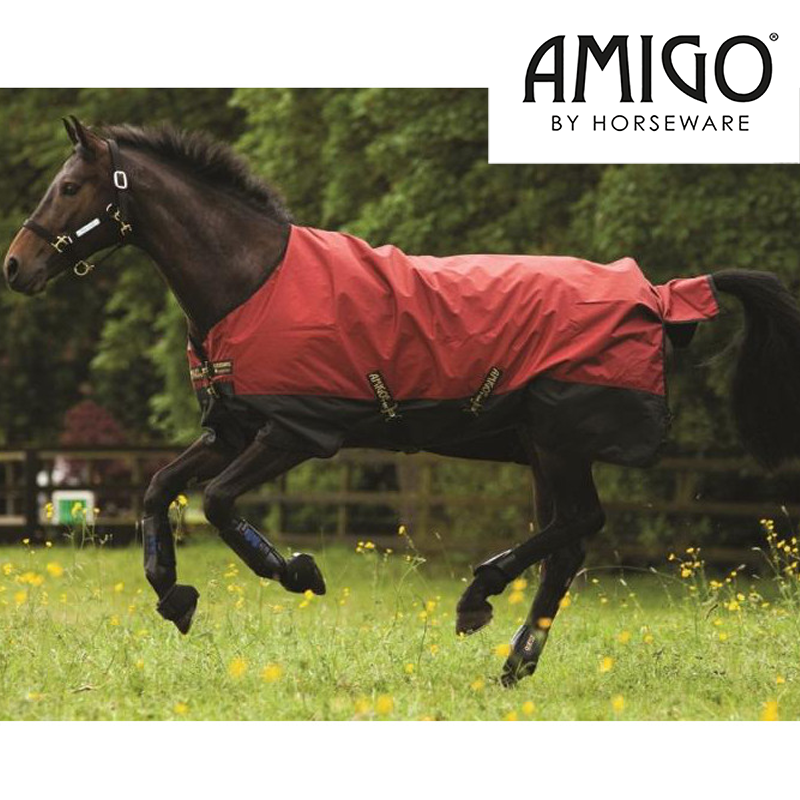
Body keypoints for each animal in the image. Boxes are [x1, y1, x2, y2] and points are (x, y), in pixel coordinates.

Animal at [6, 117, 800, 687]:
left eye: (70, 188)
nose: (16, 266)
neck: (251, 279)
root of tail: (660, 296)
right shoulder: (235, 428)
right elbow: (155, 488)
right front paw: (173, 595)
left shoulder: (295, 431)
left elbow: (218, 504)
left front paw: (296, 572)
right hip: (542, 450)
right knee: (567, 543)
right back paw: (511, 662)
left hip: (559, 442)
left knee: (579, 525)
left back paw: (480, 596)